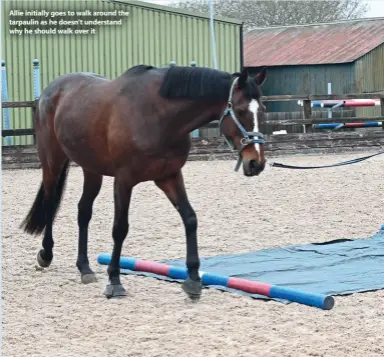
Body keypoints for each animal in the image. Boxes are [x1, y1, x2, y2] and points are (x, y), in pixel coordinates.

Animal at [20, 63, 268, 298]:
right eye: (241, 110)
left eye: (263, 110)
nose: (256, 162)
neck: (159, 115)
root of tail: (50, 90)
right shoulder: (123, 180)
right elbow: (120, 228)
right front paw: (114, 281)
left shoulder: (169, 176)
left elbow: (190, 218)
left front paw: (193, 280)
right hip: (52, 161)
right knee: (51, 203)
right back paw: (46, 254)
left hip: (92, 169)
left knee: (83, 211)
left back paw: (85, 268)